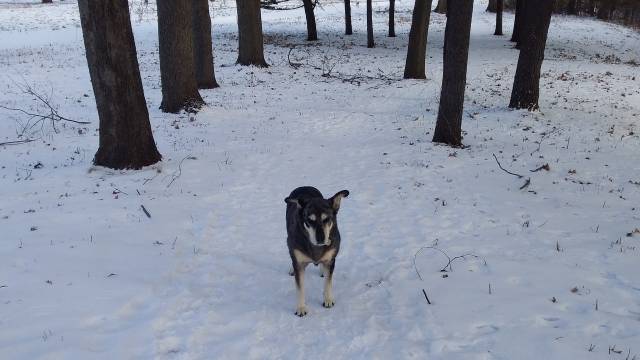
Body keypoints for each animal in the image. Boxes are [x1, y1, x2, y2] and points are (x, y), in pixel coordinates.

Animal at [284, 187, 350, 316]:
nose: (321, 238)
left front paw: (328, 299)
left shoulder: (331, 260)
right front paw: (301, 308)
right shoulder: (299, 264)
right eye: (310, 220)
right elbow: (300, 288)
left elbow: (328, 282)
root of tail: (304, 186)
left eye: (327, 219)